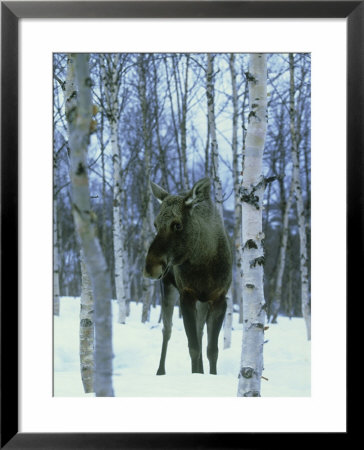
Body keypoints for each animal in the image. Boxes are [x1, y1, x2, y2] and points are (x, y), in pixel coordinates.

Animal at [143, 178, 232, 374]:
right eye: (155, 224)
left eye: (177, 224)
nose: (150, 268)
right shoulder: (187, 295)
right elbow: (194, 347)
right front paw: (196, 374)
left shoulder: (219, 298)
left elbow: (212, 350)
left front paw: (210, 374)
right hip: (169, 287)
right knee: (167, 329)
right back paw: (160, 371)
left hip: (202, 301)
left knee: (199, 331)